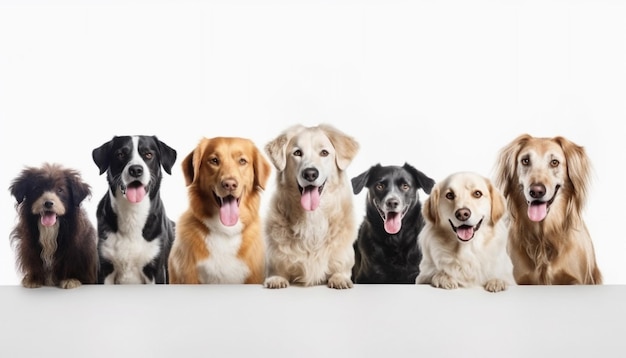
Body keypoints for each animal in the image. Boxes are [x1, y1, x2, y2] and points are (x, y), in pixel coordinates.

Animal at [91, 136, 177, 284]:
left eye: (148, 154)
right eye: (121, 154)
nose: (136, 170)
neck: (132, 214)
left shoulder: (156, 270)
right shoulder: (104, 269)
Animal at [262, 124, 358, 290]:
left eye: (324, 153)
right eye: (297, 153)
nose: (310, 173)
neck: (312, 216)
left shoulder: (344, 258)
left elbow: (341, 269)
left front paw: (340, 279)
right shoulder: (274, 260)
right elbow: (277, 270)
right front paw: (276, 279)